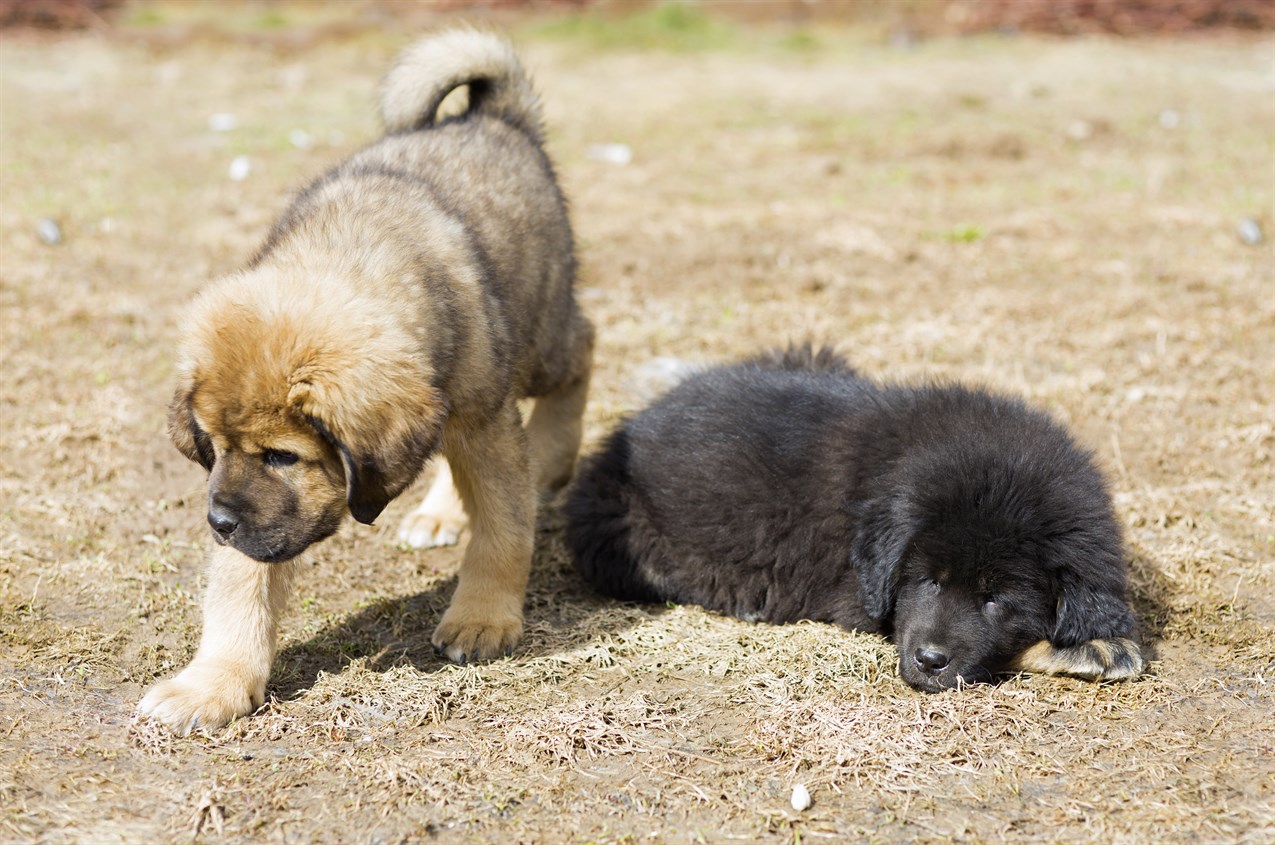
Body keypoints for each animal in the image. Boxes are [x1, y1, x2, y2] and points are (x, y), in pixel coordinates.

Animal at [139, 31, 591, 734]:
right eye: (215, 445)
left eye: (283, 456)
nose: (217, 523)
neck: (350, 263)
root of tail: (493, 116)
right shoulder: (258, 516)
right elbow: (240, 589)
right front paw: (213, 684)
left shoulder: (486, 423)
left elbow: (503, 528)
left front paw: (482, 618)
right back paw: (440, 513)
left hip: (537, 338)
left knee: (584, 349)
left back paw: (553, 451)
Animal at [568, 346, 1147, 693]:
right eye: (927, 580)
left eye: (996, 599)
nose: (929, 660)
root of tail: (638, 419)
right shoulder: (859, 599)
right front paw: (1099, 648)